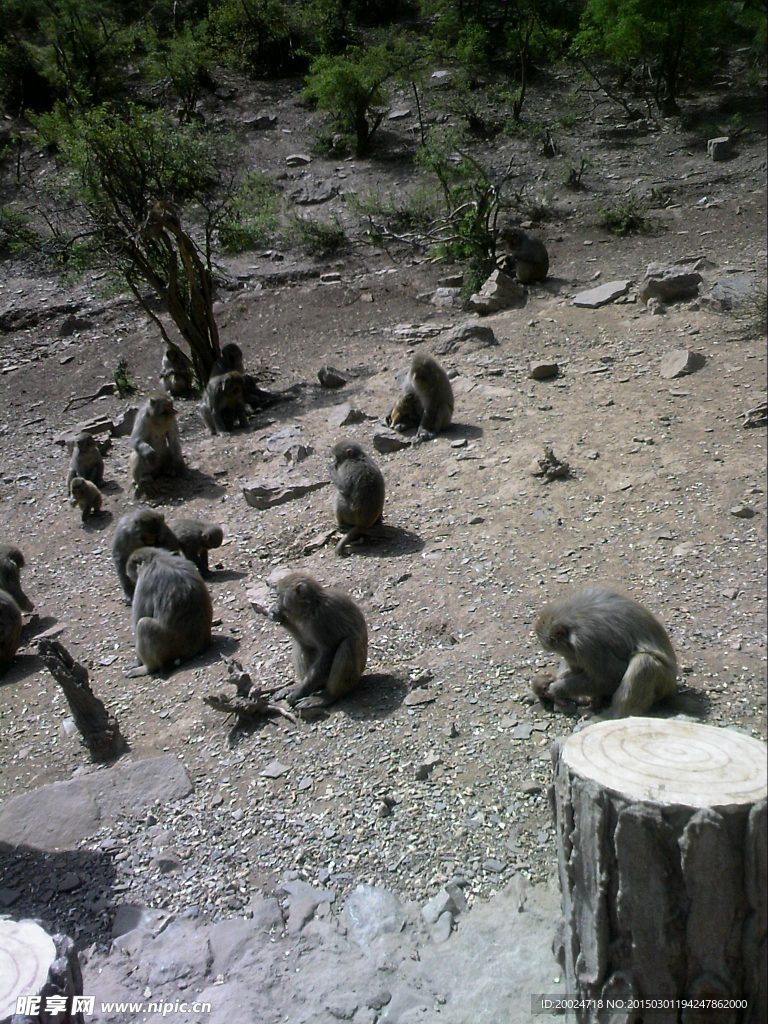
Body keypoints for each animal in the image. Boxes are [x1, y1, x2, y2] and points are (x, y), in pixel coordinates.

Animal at [268, 573, 370, 708]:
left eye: (279, 595)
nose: (276, 603)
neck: (311, 606)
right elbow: (306, 642)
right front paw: (279, 617)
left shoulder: (322, 619)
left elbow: (328, 652)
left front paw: (299, 693)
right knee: (302, 646)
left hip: (352, 679)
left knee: (349, 644)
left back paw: (329, 696)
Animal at [536, 585, 679, 720]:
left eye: (564, 652)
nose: (570, 662)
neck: (572, 618)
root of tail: (672, 687)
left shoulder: (587, 643)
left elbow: (611, 678)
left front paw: (557, 688)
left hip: (664, 682)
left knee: (644, 662)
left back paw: (612, 716)